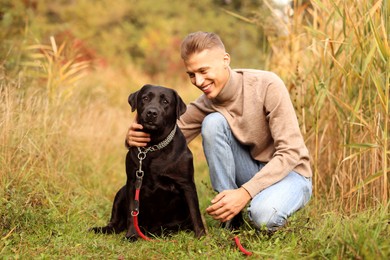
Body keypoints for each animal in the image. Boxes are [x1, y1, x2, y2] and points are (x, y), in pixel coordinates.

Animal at [91, 85, 206, 240]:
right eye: (145, 98)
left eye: (165, 101)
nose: (151, 112)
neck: (153, 146)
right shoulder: (133, 182)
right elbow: (132, 212)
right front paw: (131, 234)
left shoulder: (187, 184)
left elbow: (195, 212)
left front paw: (201, 236)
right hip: (121, 192)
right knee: (115, 223)